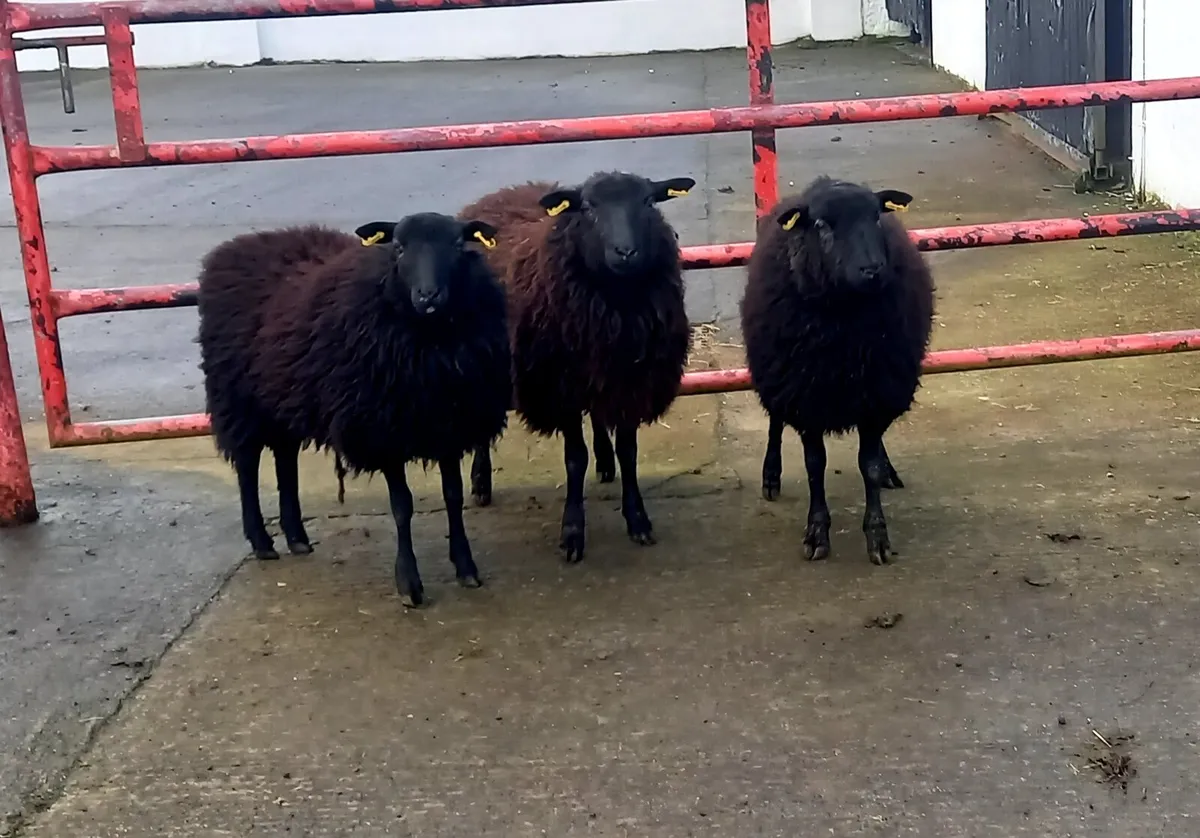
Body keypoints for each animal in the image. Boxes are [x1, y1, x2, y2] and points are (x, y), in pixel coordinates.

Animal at [196, 212, 511, 607]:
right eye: (398, 247)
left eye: (457, 245)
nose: (428, 296)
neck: (429, 339)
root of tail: (236, 247)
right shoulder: (382, 430)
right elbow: (402, 506)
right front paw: (409, 583)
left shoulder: (448, 424)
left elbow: (453, 497)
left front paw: (466, 567)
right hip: (238, 400)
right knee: (248, 464)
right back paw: (262, 541)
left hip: (281, 400)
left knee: (285, 459)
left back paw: (297, 536)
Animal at [458, 171, 696, 563]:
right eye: (588, 207)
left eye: (649, 201)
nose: (626, 252)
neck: (617, 301)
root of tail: (499, 194)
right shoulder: (562, 387)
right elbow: (574, 459)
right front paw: (572, 532)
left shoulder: (629, 381)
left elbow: (628, 452)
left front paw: (637, 519)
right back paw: (480, 481)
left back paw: (605, 462)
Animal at [739, 176, 935, 566]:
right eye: (821, 224)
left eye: (876, 217)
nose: (873, 270)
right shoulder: (805, 396)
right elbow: (815, 465)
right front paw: (817, 533)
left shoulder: (877, 391)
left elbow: (868, 465)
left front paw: (877, 535)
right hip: (778, 377)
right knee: (775, 423)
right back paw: (771, 474)